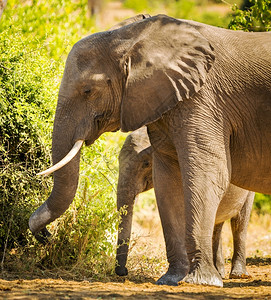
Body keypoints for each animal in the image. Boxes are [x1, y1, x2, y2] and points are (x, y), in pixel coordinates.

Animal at [116, 127, 255, 284]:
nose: (124, 272)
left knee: (239, 224)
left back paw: (238, 275)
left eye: (146, 164)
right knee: (216, 226)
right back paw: (219, 273)